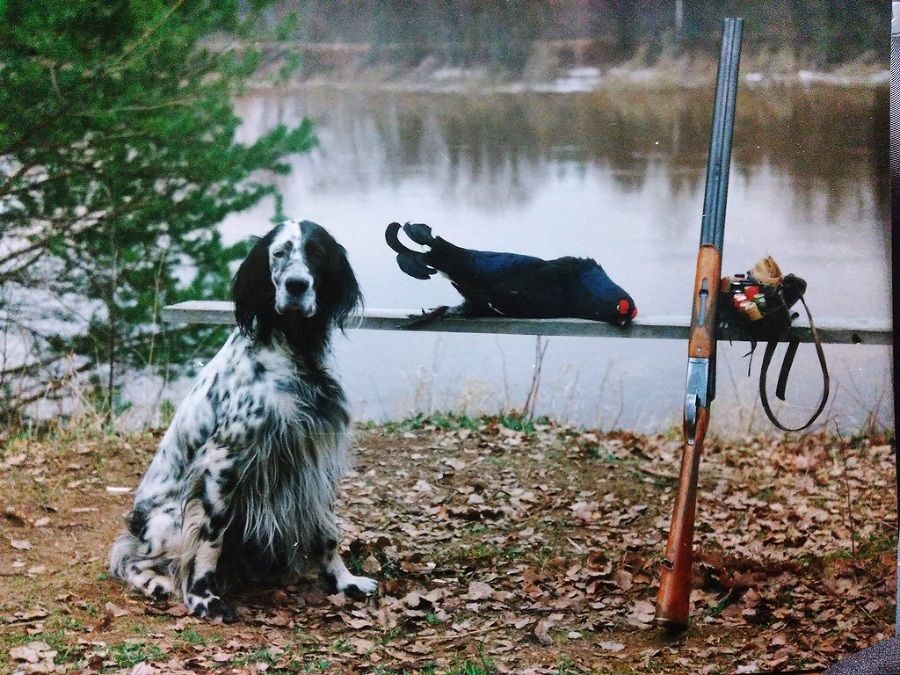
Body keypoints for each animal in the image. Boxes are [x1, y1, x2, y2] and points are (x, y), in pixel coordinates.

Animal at [110, 219, 376, 620]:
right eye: (278, 253)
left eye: (316, 253)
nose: (296, 285)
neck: (294, 351)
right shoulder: (224, 460)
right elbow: (210, 538)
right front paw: (204, 598)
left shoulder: (316, 455)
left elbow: (327, 530)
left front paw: (344, 581)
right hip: (167, 520)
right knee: (131, 559)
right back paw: (157, 583)